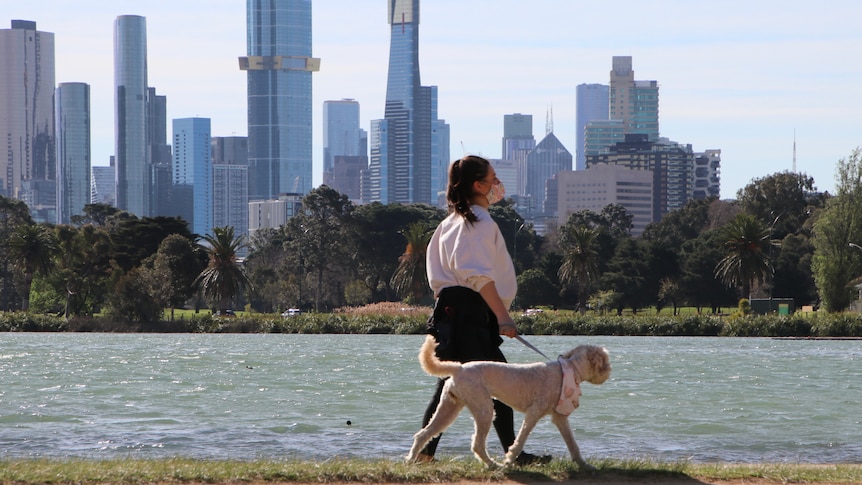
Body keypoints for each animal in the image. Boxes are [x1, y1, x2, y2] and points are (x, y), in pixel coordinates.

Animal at [408, 334, 612, 466]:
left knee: (423, 434)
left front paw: (583, 464)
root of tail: (459, 368)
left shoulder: (559, 418)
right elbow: (520, 440)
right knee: (477, 444)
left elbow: (572, 443)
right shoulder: (533, 413)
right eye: (605, 360)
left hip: (449, 408)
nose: (610, 372)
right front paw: (510, 458)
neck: (568, 370)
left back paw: (411, 460)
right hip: (484, 410)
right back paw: (493, 465)